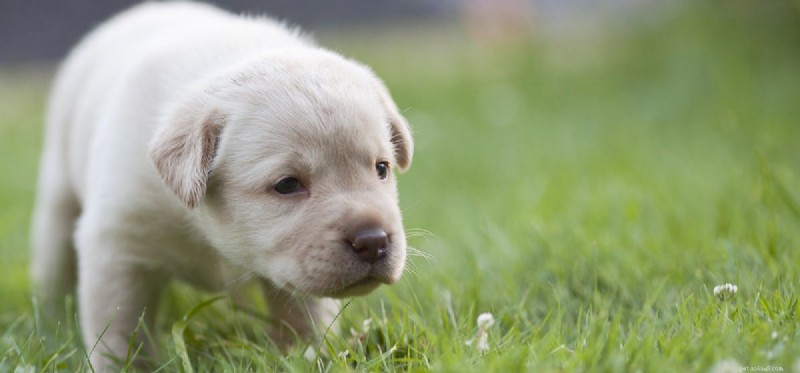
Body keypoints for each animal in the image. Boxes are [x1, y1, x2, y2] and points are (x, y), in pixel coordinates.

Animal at [29, 2, 412, 370]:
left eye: (381, 168)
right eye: (287, 184)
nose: (373, 241)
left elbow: (306, 318)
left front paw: (308, 356)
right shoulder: (116, 243)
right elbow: (119, 331)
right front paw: (121, 366)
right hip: (58, 194)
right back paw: (48, 318)